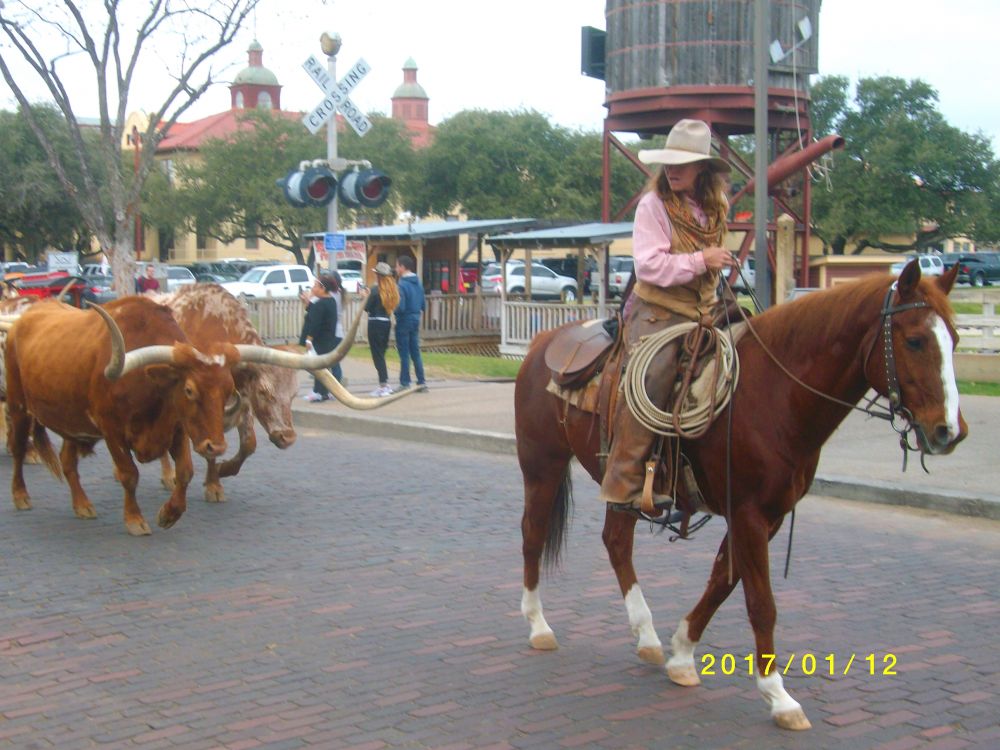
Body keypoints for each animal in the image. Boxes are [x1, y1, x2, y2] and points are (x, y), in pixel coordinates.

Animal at [4, 296, 356, 535]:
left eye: (228, 389)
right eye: (188, 389)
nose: (288, 437)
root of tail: (27, 315)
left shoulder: (183, 428)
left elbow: (198, 466)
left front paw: (174, 510)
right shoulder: (113, 429)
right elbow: (130, 473)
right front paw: (136, 519)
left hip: (74, 423)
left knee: (67, 460)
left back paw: (82, 504)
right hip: (20, 406)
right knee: (19, 448)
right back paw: (21, 496)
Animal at [515, 260, 967, 730]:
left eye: (954, 339)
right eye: (914, 340)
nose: (949, 431)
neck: (775, 394)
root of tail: (543, 343)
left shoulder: (767, 515)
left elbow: (722, 580)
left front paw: (682, 654)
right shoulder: (749, 513)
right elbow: (760, 601)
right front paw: (779, 696)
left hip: (620, 479)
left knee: (616, 542)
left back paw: (647, 636)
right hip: (542, 465)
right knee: (533, 535)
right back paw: (539, 626)